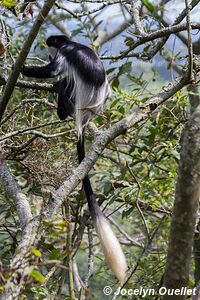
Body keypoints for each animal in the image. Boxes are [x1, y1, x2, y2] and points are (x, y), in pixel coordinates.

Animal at [21, 35, 127, 284]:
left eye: (51, 47)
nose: (47, 51)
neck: (72, 43)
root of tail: (86, 116)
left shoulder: (65, 52)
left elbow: (53, 71)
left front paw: (22, 69)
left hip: (72, 99)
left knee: (65, 83)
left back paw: (60, 103)